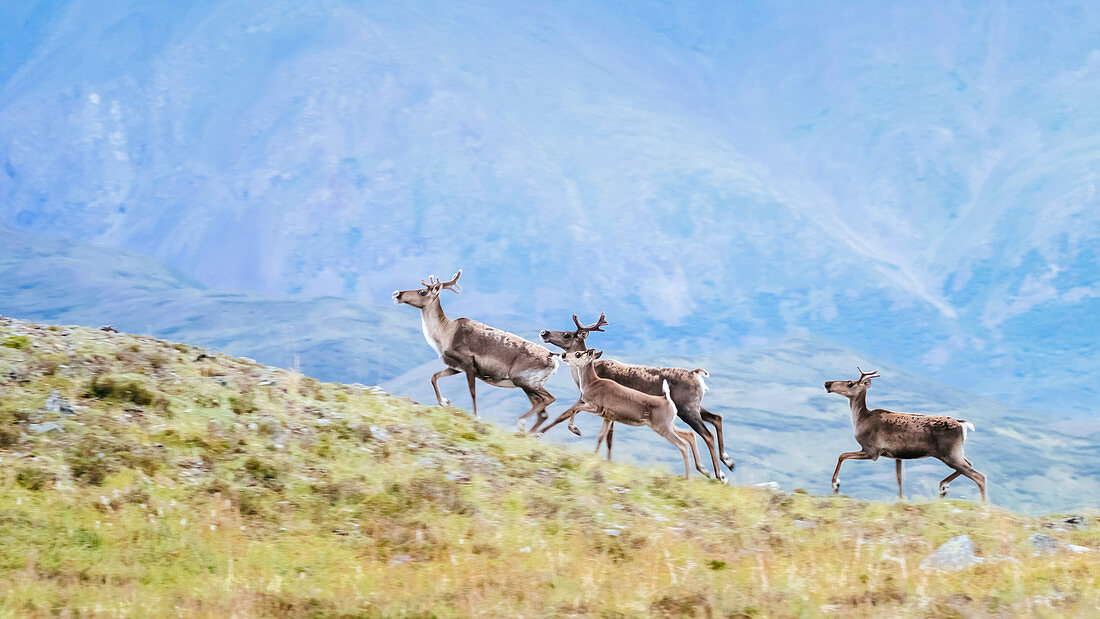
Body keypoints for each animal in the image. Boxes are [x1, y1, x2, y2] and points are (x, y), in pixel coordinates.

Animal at [563, 349, 708, 479]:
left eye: (578, 354)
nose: (563, 355)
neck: (592, 383)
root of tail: (667, 399)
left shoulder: (596, 408)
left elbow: (576, 408)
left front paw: (576, 430)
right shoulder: (607, 417)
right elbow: (600, 436)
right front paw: (593, 456)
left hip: (663, 428)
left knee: (682, 444)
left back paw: (688, 478)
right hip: (669, 425)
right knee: (689, 434)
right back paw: (703, 469)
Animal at [827, 367, 990, 503]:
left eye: (850, 383)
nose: (827, 383)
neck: (860, 418)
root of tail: (963, 424)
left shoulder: (872, 451)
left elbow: (842, 455)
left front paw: (836, 484)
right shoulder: (897, 455)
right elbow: (899, 479)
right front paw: (901, 500)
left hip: (949, 454)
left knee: (979, 476)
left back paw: (983, 505)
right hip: (955, 452)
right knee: (970, 464)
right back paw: (943, 486)